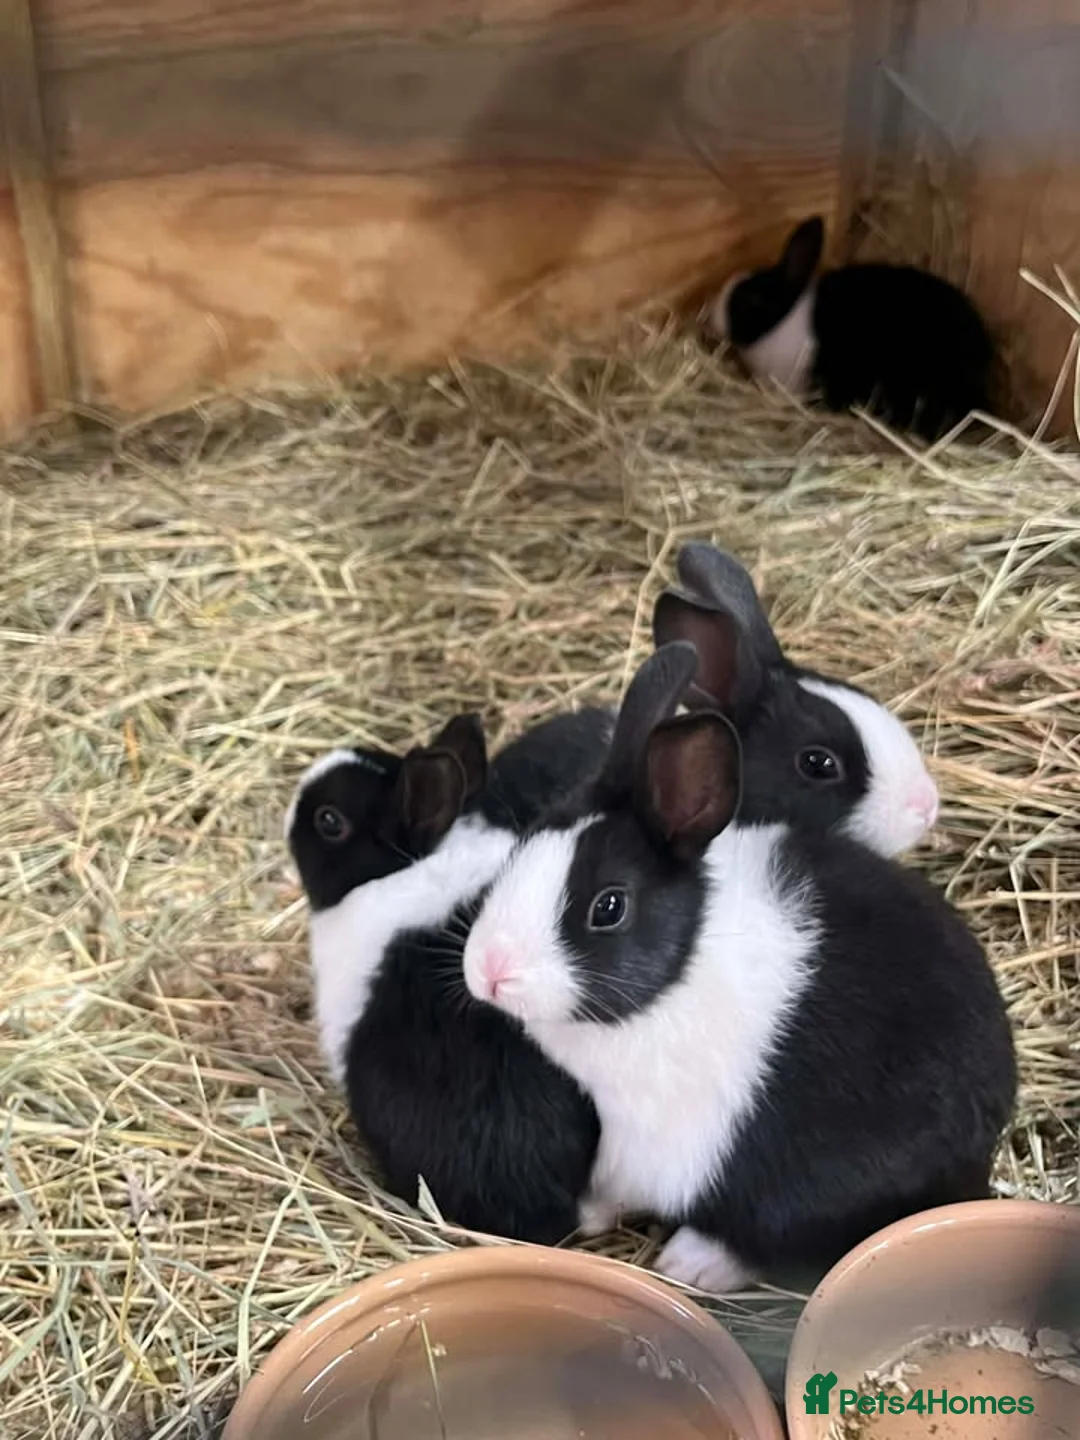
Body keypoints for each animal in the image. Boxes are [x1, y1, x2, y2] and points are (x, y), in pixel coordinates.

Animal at [461, 641, 1017, 1292]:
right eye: (519, 851)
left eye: (609, 907)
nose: (489, 971)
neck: (683, 965)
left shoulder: (649, 1141)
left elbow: (620, 1184)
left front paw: (587, 1213)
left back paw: (692, 1261)